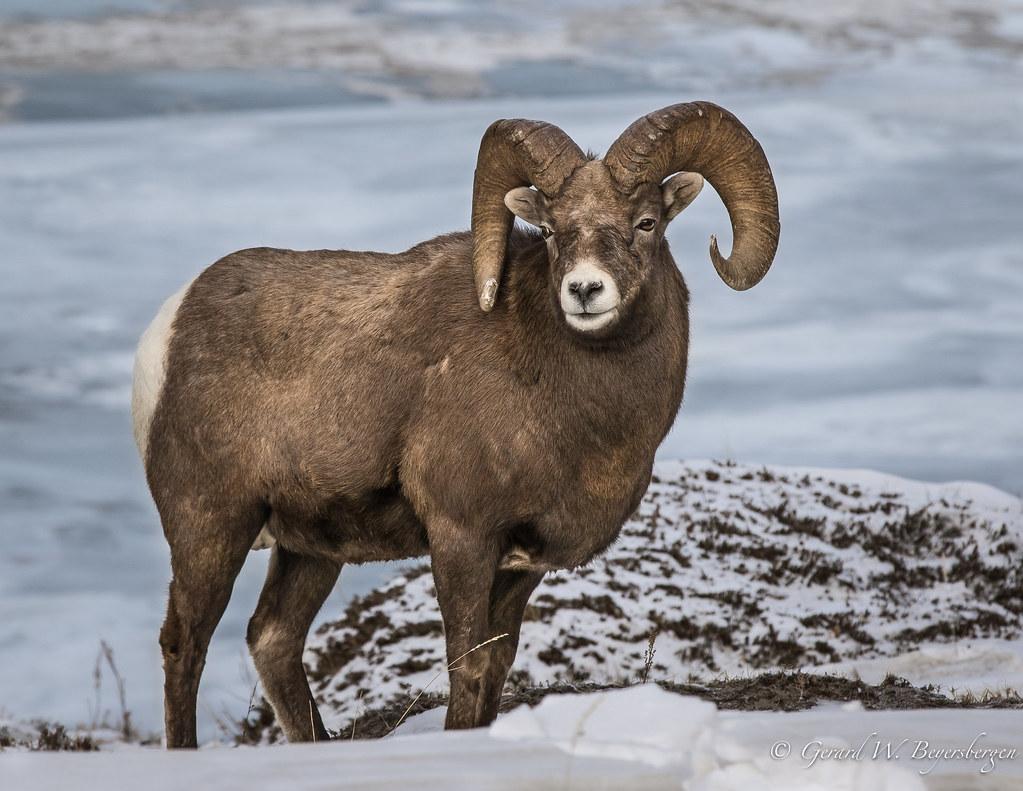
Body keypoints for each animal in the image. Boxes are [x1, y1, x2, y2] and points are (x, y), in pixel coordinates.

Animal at [131, 101, 780, 748]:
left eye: (646, 222)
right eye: (552, 231)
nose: (585, 291)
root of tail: (168, 328)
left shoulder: (520, 568)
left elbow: (497, 663)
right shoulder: (461, 538)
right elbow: (466, 664)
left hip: (310, 548)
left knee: (273, 639)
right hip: (211, 524)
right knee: (185, 644)